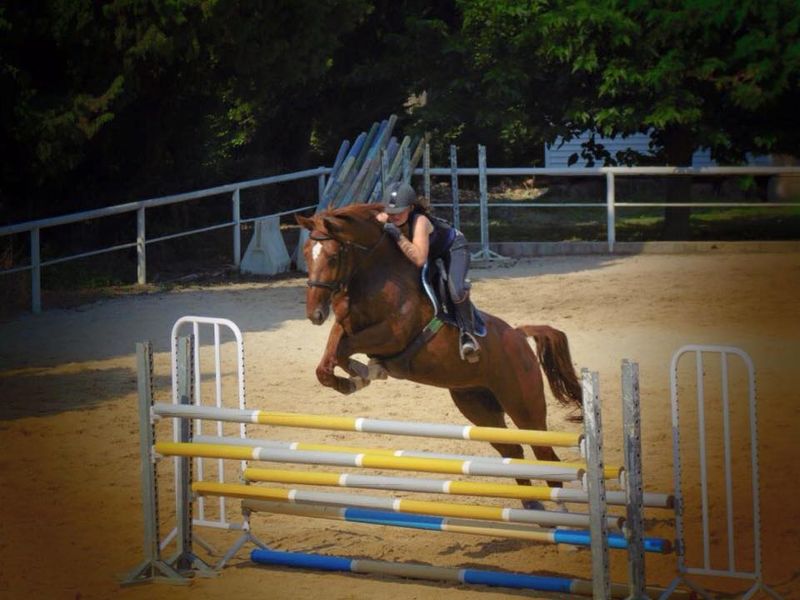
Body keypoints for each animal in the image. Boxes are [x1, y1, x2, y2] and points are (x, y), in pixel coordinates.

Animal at [295, 203, 583, 503]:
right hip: (477, 406)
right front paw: (353, 379)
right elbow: (329, 358)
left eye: (332, 257)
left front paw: (363, 372)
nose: (314, 314)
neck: (374, 274)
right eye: (306, 254)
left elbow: (345, 349)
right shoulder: (345, 324)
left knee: (546, 459)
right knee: (512, 453)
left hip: (525, 408)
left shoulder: (392, 334)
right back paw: (531, 506)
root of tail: (519, 335)